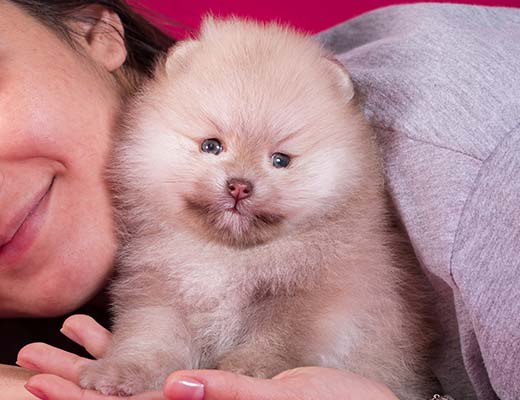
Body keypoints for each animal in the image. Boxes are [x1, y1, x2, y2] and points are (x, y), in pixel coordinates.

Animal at [80, 17, 438, 398]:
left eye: (280, 160)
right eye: (212, 145)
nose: (239, 185)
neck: (231, 256)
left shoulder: (305, 294)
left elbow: (277, 338)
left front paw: (250, 367)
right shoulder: (162, 289)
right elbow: (148, 339)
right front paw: (118, 371)